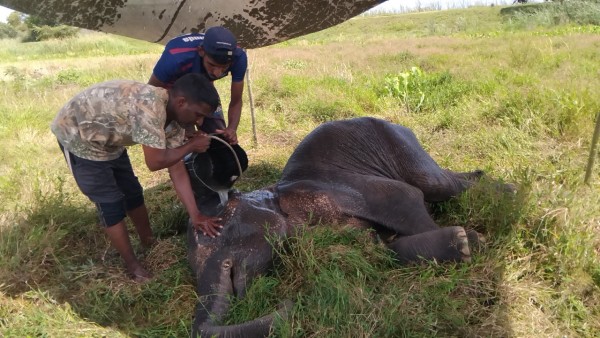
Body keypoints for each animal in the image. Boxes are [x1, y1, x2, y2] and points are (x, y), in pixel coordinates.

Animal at [186, 115, 510, 336]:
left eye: (227, 225)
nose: (289, 301)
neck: (275, 195)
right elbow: (378, 250)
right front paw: (465, 241)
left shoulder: (342, 189)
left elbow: (408, 199)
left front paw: (471, 242)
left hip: (402, 146)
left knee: (436, 184)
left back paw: (513, 192)